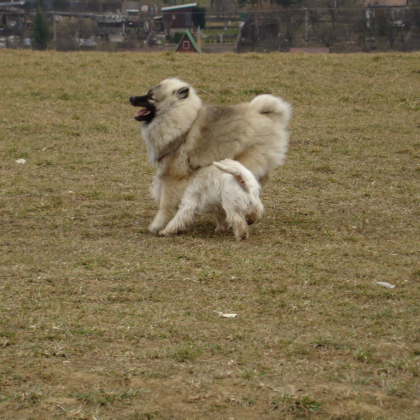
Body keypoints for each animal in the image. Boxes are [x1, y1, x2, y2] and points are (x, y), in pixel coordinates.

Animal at [130, 78, 290, 236]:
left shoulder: (173, 177)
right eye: (147, 94)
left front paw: (157, 225)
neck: (182, 119)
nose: (131, 98)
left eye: (151, 97)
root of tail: (267, 115)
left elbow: (165, 204)